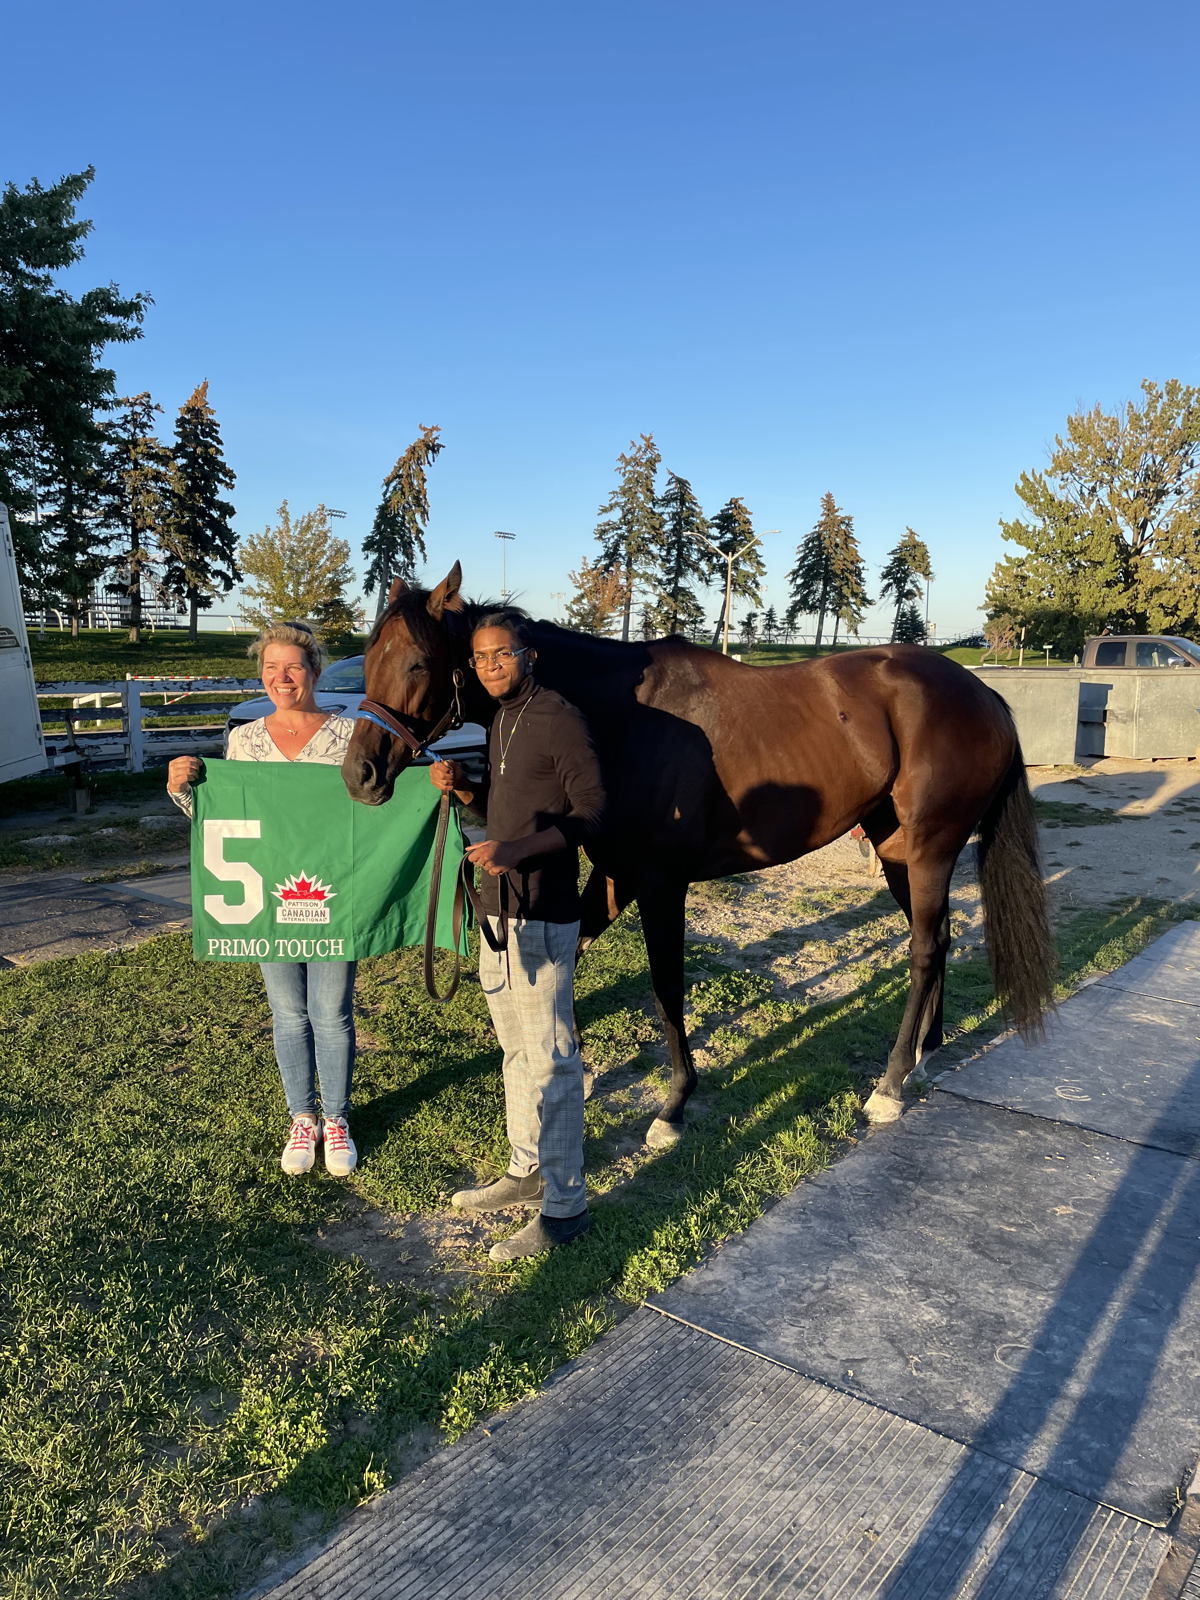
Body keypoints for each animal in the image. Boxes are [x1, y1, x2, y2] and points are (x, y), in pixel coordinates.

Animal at [342, 569, 1056, 1145]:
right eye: (369, 657)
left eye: (417, 664)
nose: (360, 775)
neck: (617, 717)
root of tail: (984, 696)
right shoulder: (615, 874)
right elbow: (571, 957)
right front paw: (575, 1067)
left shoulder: (661, 885)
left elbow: (666, 987)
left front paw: (674, 1105)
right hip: (896, 851)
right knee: (935, 939)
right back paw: (925, 1055)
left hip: (931, 849)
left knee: (925, 949)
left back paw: (889, 1085)